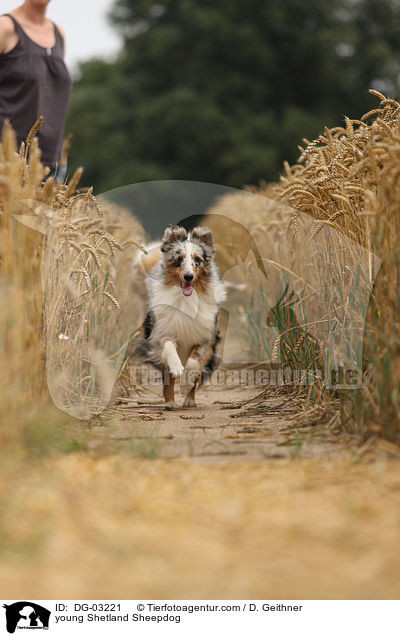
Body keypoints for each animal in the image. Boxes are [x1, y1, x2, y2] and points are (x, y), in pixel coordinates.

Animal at [136, 226, 227, 410]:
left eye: (197, 259)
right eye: (179, 259)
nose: (188, 276)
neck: (186, 299)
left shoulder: (205, 340)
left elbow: (193, 363)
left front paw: (185, 383)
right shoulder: (160, 334)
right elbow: (169, 346)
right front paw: (178, 367)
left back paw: (189, 400)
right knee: (168, 381)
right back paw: (170, 402)